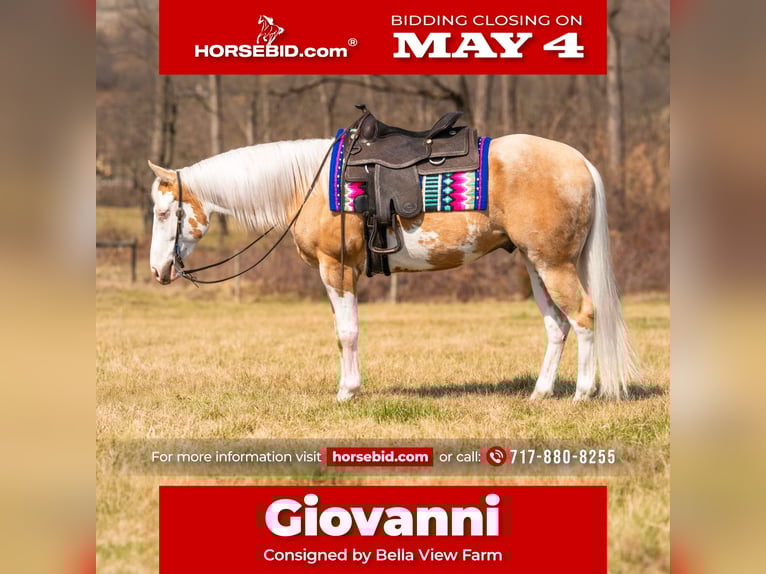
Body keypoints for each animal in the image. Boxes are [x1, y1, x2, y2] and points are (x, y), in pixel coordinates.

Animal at [147, 133, 639, 403]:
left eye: (162, 212)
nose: (158, 272)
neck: (309, 184)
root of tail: (579, 161)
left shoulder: (337, 269)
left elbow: (347, 333)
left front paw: (347, 391)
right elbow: (342, 332)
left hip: (554, 264)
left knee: (584, 317)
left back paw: (581, 393)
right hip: (537, 266)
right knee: (557, 326)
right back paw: (540, 393)